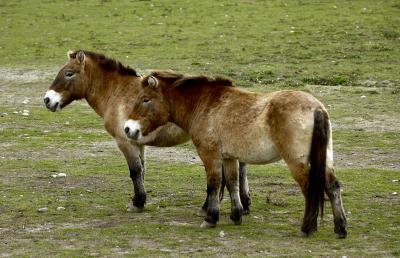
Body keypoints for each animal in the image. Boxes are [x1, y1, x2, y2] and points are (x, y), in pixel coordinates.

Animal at [43, 50, 250, 214]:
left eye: (69, 73)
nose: (47, 100)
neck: (116, 92)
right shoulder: (137, 142)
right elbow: (142, 170)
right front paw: (140, 200)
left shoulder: (125, 142)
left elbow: (134, 171)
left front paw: (138, 203)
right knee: (239, 169)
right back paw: (245, 203)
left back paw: (210, 207)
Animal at [123, 70, 348, 238]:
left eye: (145, 99)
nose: (127, 129)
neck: (205, 104)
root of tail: (316, 108)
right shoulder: (229, 157)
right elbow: (232, 183)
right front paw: (236, 215)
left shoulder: (210, 155)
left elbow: (214, 184)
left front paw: (210, 218)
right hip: (325, 159)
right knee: (333, 187)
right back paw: (340, 228)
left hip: (296, 162)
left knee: (310, 188)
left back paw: (307, 228)